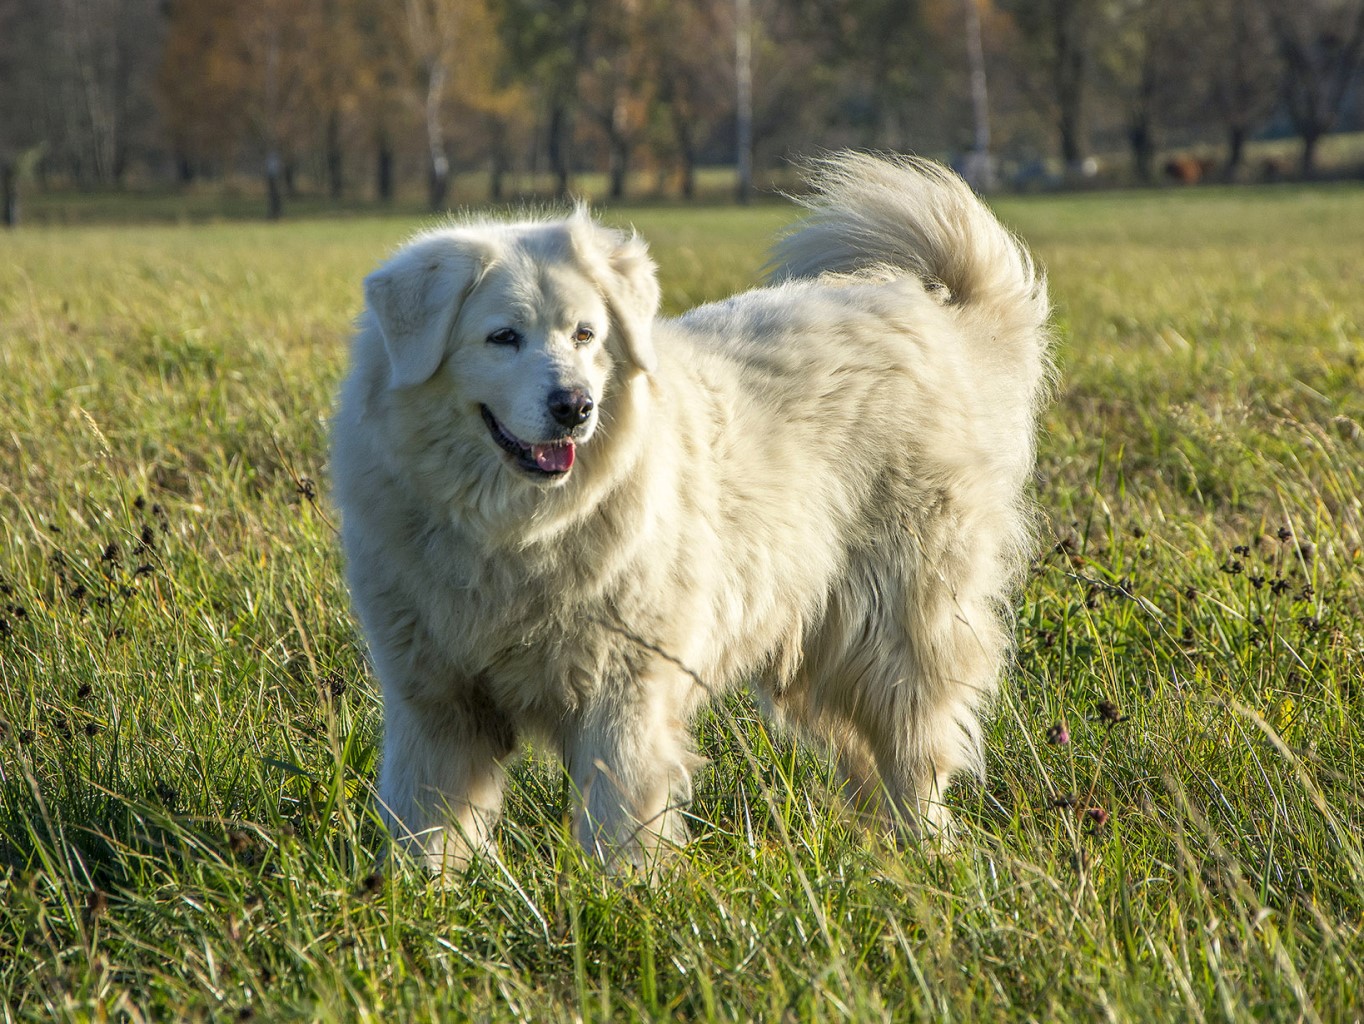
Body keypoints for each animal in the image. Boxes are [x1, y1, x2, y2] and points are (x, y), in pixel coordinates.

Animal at [332, 154, 1053, 883]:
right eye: (502, 338)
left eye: (585, 335)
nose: (575, 406)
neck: (516, 531)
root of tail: (932, 312)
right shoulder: (436, 702)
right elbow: (425, 822)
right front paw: (416, 897)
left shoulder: (623, 694)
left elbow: (618, 824)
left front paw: (622, 898)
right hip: (824, 647)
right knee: (865, 757)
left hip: (900, 632)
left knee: (915, 755)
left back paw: (926, 852)